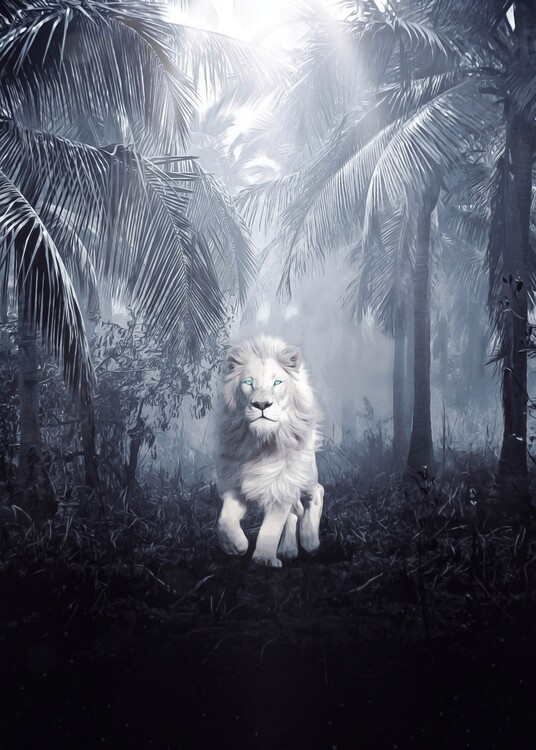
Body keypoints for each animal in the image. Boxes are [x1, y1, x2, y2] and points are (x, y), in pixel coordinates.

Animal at [215, 335, 324, 567]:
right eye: (248, 383)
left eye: (277, 383)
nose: (262, 404)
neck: (261, 443)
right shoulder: (236, 486)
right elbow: (224, 519)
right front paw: (236, 545)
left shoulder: (282, 486)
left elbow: (271, 528)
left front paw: (264, 558)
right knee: (294, 513)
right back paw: (288, 550)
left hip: (305, 475)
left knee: (317, 492)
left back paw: (310, 540)